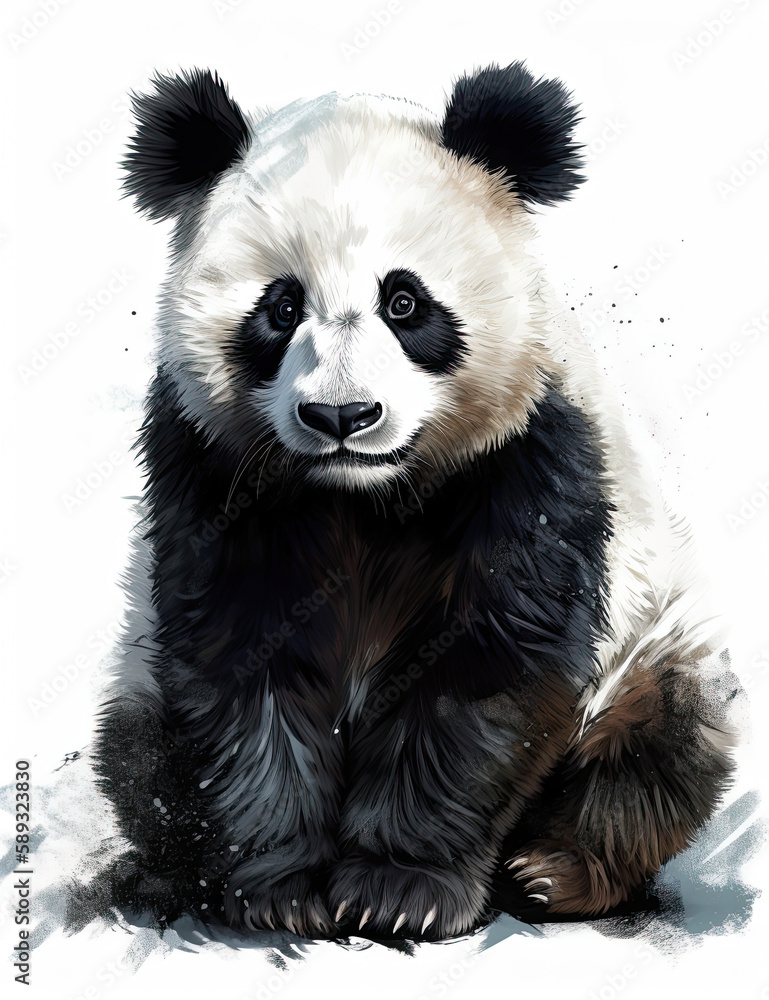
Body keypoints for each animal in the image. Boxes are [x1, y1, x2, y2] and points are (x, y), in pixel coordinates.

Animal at [88, 62, 739, 942]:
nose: (341, 416)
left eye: (404, 303)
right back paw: (161, 874)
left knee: (656, 757)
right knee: (139, 755)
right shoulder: (210, 472)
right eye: (280, 307)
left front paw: (398, 891)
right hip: (136, 680)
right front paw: (282, 890)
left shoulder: (532, 465)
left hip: (656, 647)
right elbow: (243, 666)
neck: (361, 496)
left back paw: (553, 874)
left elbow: (482, 670)